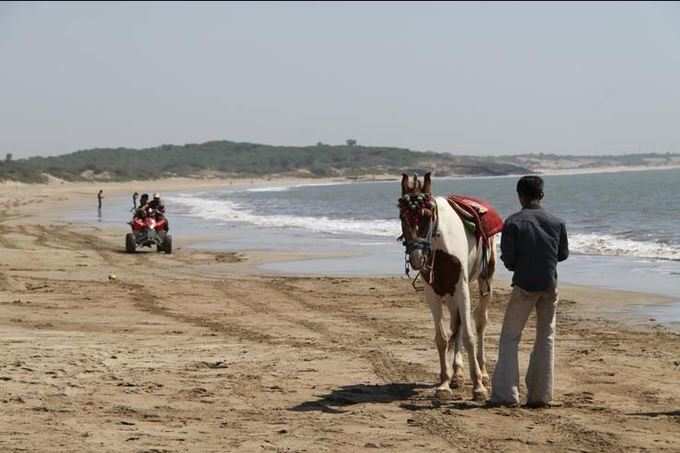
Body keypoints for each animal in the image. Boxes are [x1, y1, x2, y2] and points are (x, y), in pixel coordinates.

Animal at [398, 172, 500, 400]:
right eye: (402, 216)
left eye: (427, 215)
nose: (417, 258)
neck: (440, 244)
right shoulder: (433, 292)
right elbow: (442, 338)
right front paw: (445, 382)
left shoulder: (462, 288)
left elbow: (469, 335)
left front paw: (478, 386)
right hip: (450, 293)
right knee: (456, 324)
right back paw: (457, 374)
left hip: (484, 280)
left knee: (479, 322)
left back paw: (483, 373)